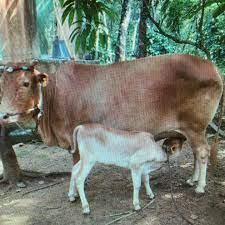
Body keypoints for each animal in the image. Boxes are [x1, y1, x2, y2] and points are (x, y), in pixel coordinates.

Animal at [0, 53, 222, 193]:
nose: (4, 116)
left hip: (195, 127)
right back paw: (192, 179)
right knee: (197, 153)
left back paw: (200, 186)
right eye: (1, 85)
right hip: (192, 130)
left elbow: (75, 165)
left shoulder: (75, 138)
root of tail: (211, 66)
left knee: (202, 152)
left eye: (25, 83)